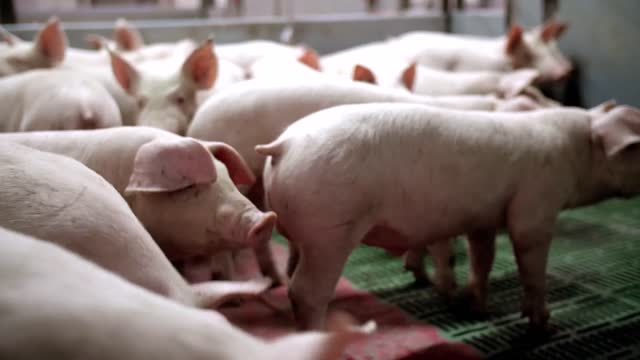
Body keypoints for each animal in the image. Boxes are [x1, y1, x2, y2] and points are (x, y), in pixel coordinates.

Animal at [256, 102, 640, 330]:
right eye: (634, 150)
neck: (576, 152)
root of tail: (284, 144)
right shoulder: (536, 203)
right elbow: (530, 257)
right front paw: (542, 324)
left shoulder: (484, 217)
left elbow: (482, 257)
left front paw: (478, 307)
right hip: (331, 230)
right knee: (306, 291)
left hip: (308, 231)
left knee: (295, 273)